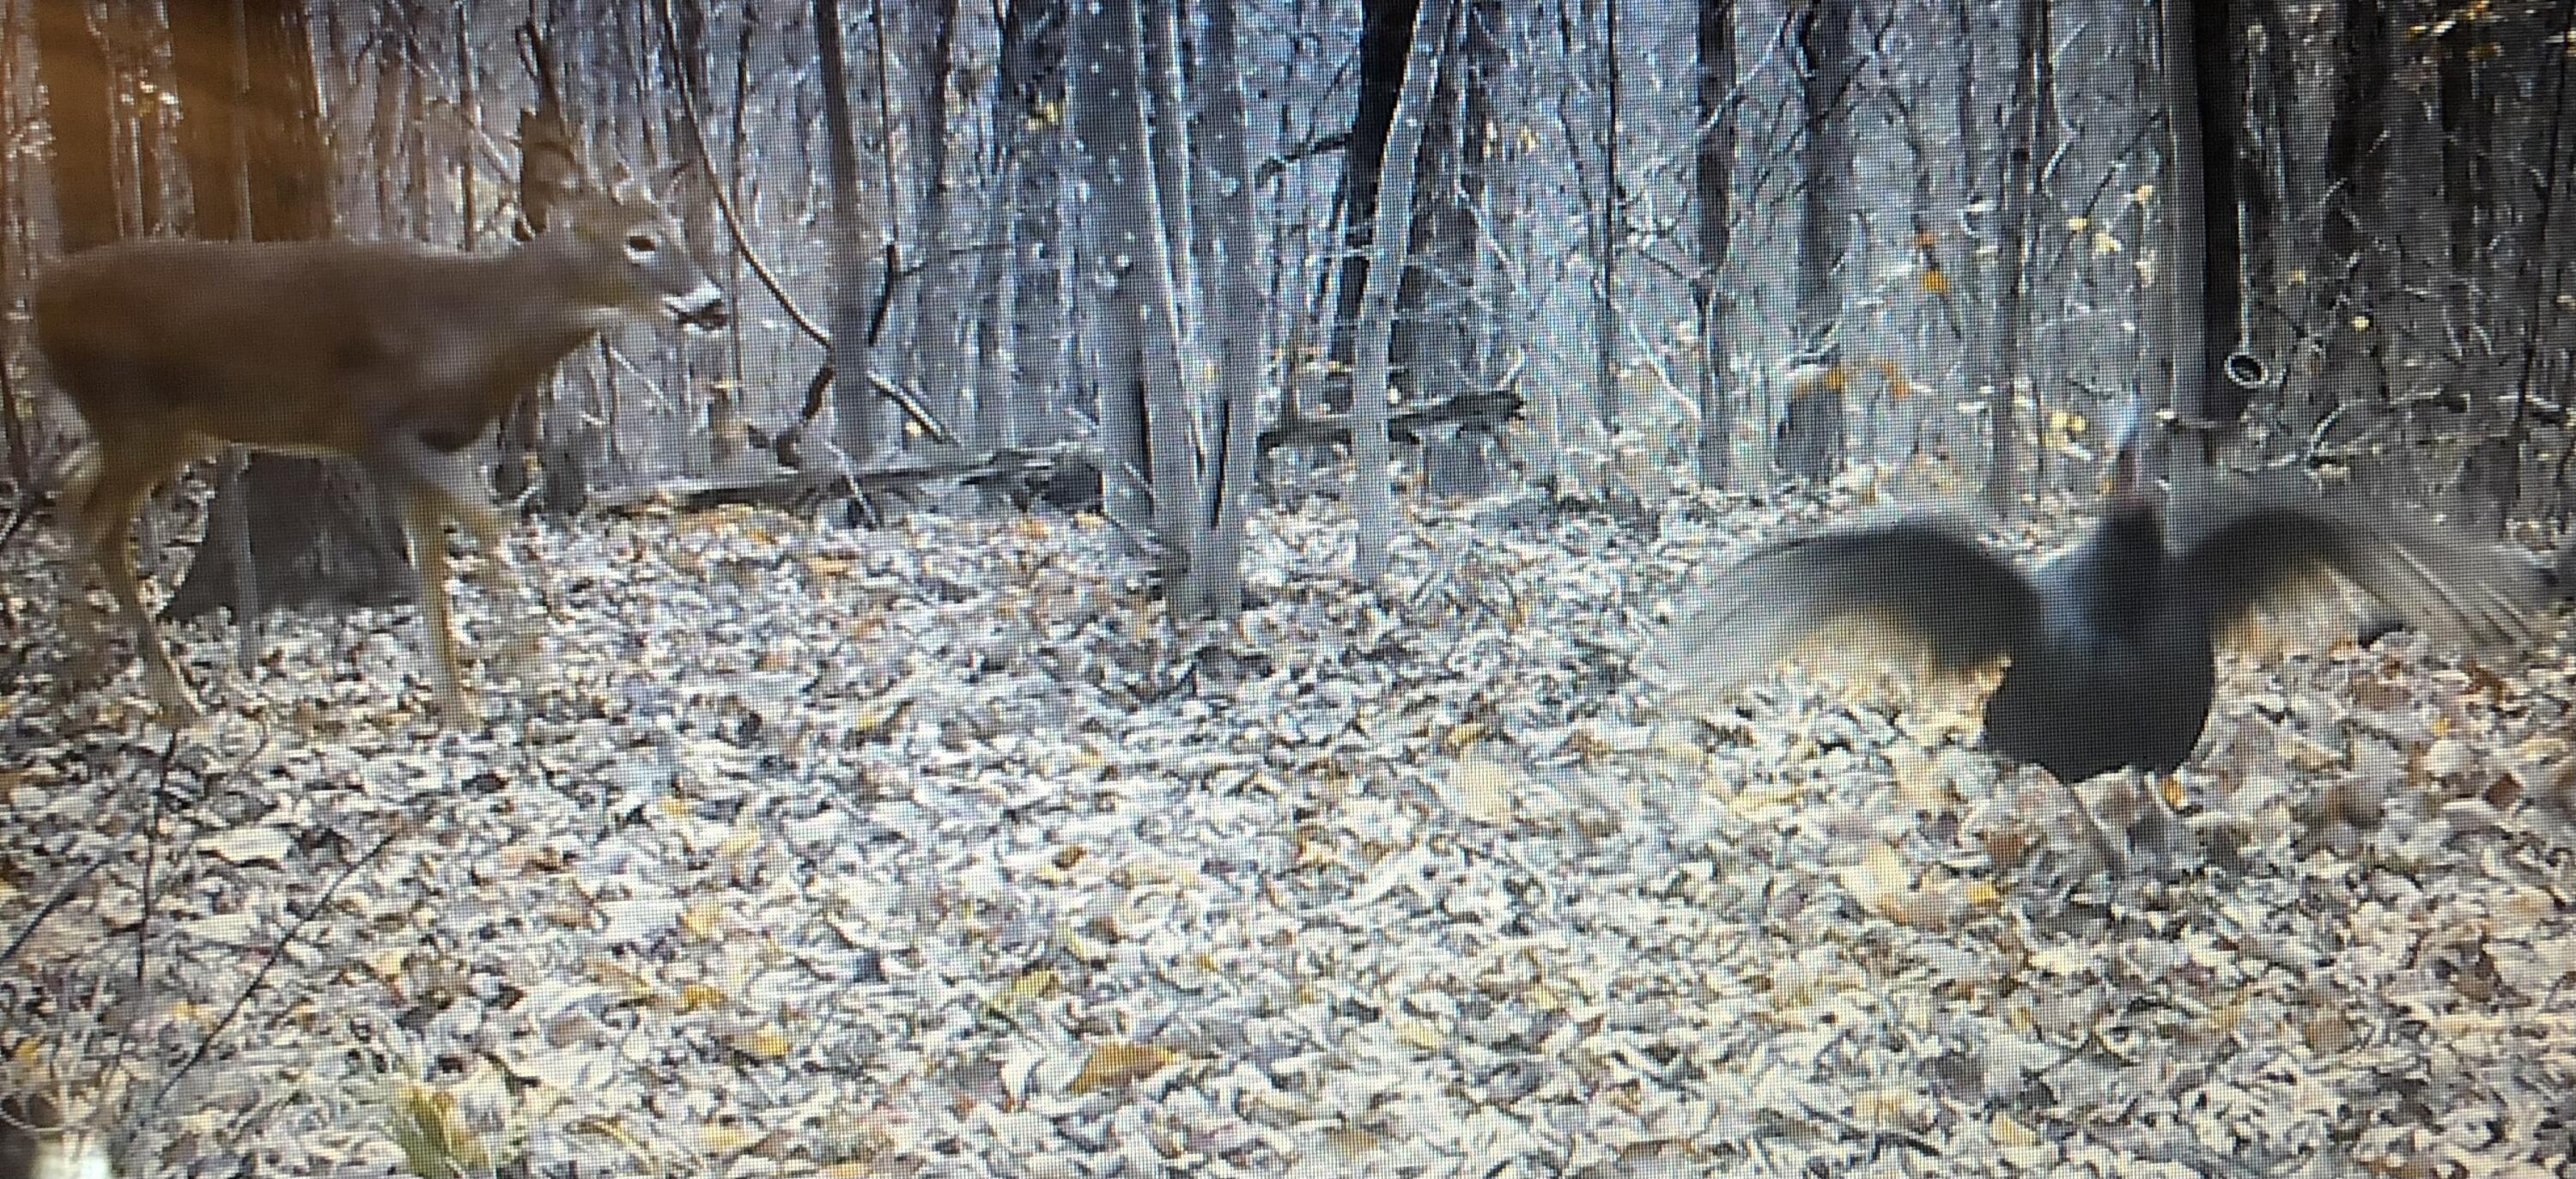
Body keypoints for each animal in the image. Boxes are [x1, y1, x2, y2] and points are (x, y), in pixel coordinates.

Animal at [36, 181, 728, 725]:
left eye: (674, 230)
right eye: (640, 240)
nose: (715, 303)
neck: (478, 326)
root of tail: (40, 298)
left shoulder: (427, 443)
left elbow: (431, 560)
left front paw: (456, 705)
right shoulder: (375, 429)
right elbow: (484, 521)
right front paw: (532, 671)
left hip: (173, 430)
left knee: (74, 489)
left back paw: (116, 673)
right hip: (135, 416)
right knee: (96, 522)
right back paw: (122, 680)